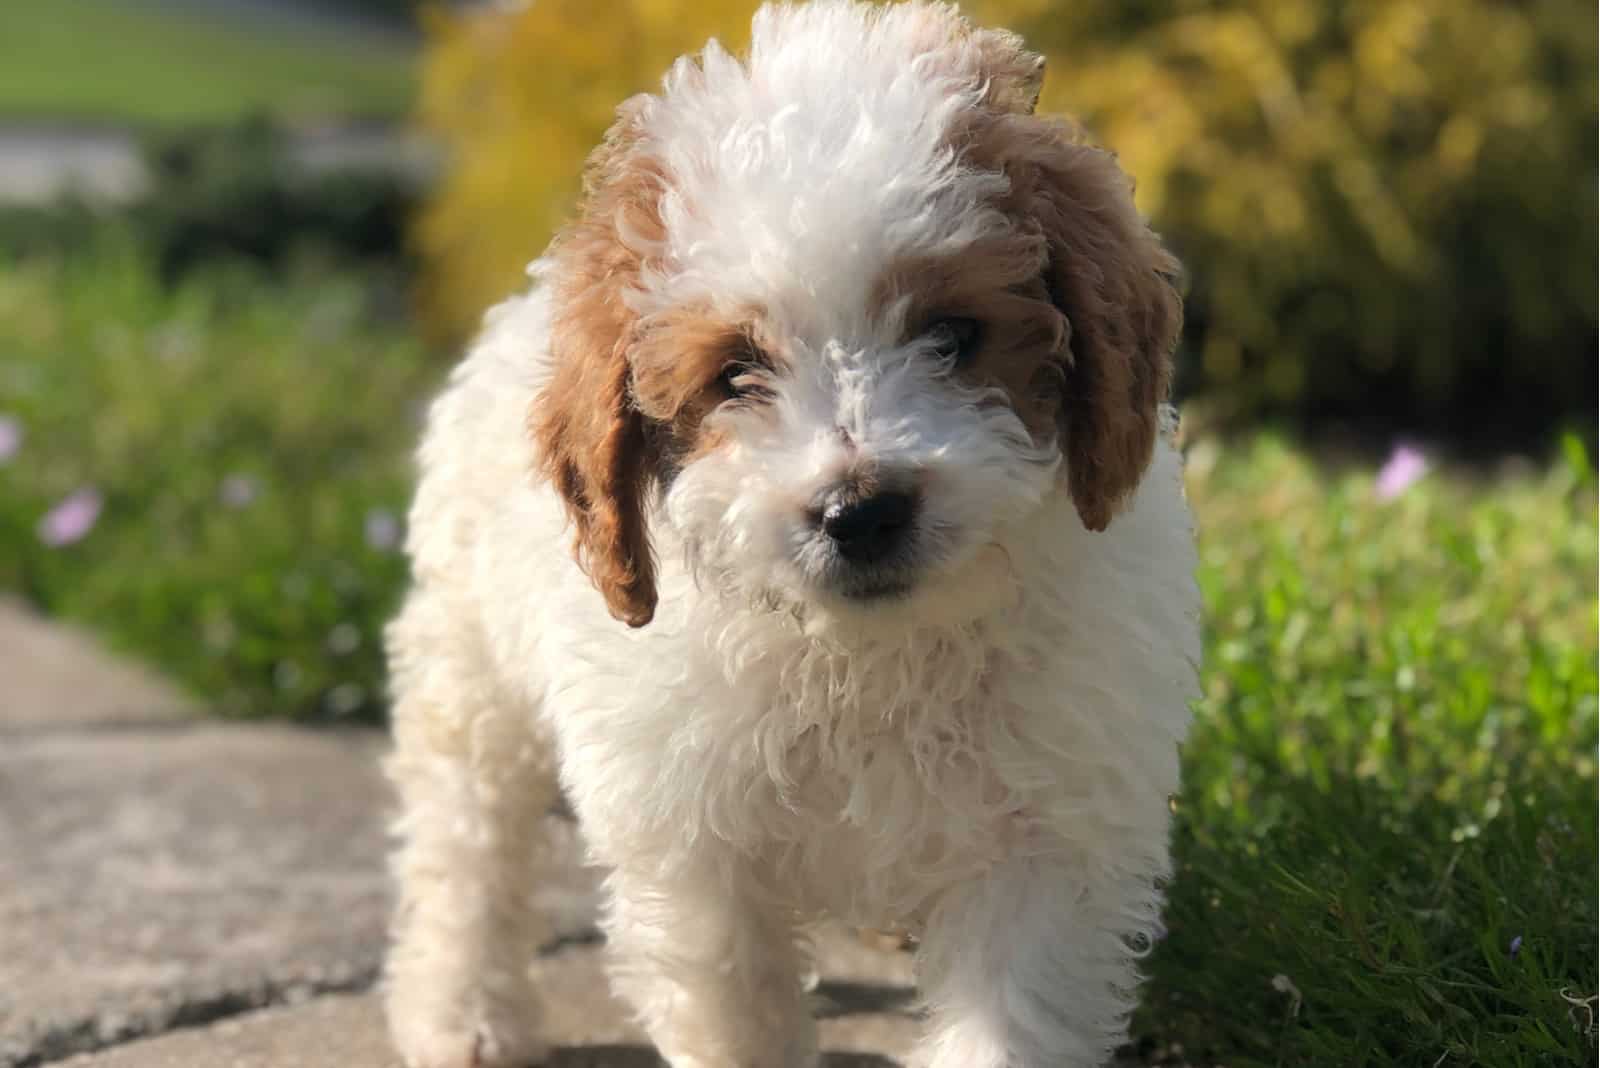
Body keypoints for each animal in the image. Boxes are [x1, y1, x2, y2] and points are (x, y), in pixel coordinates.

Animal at [380, 4, 1196, 1061]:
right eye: (737, 373)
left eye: (952, 335)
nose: (862, 511)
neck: (868, 658)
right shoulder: (696, 857)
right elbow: (736, 1008)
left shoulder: (1045, 844)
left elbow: (1006, 1016)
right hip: (469, 667)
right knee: (467, 843)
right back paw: (463, 1012)